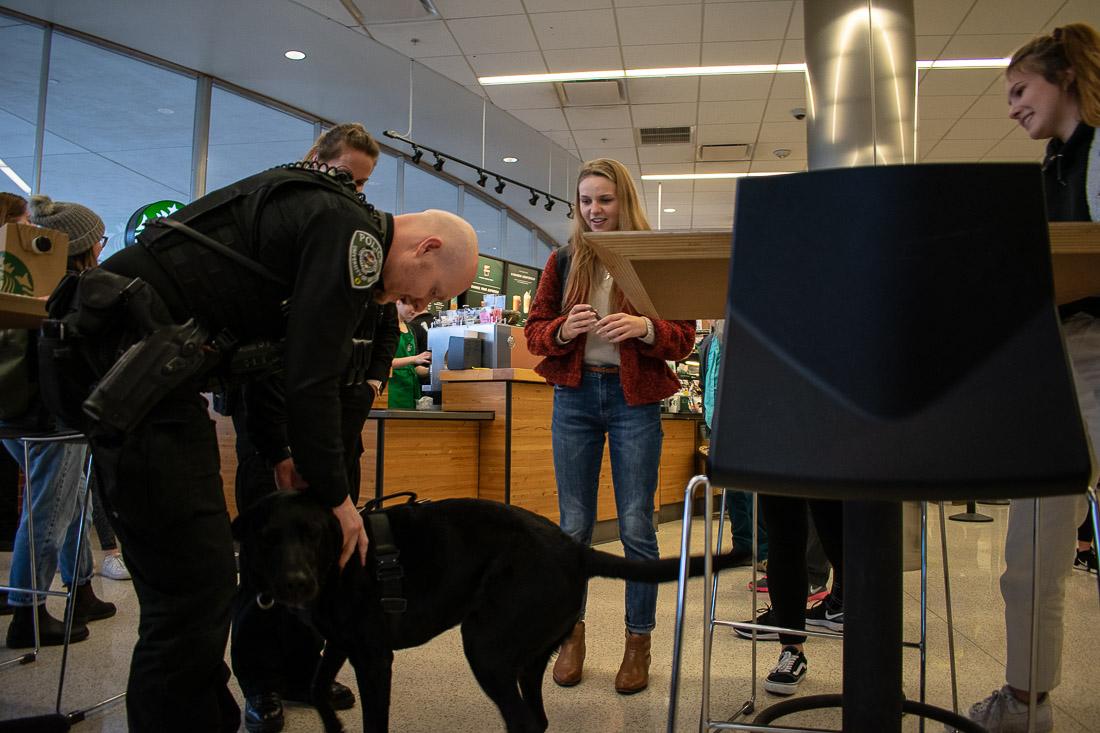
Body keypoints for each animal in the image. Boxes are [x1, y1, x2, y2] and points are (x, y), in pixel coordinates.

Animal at [231, 490, 730, 730]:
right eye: (269, 538)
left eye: (313, 534)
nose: (296, 583)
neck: (345, 556)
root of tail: (573, 549)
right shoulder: (340, 643)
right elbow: (317, 689)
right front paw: (333, 724)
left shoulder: (373, 659)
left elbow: (374, 722)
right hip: (526, 658)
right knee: (535, 720)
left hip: (484, 648)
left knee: (523, 721)